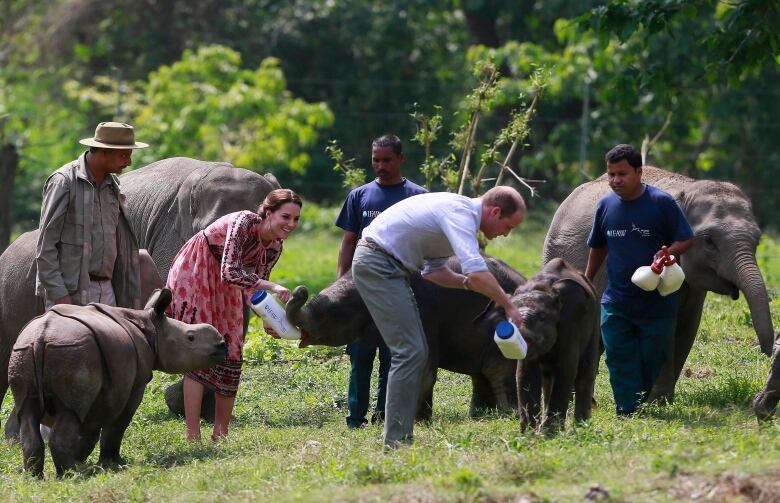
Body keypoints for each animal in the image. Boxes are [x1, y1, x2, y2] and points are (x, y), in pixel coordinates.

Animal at [7, 290, 225, 478]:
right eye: (190, 338)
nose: (222, 345)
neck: (153, 329)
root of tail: (41, 336)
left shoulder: (104, 390)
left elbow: (92, 428)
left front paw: (83, 460)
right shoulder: (134, 384)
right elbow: (117, 425)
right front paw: (114, 464)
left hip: (24, 351)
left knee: (27, 411)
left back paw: (36, 477)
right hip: (72, 351)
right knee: (70, 413)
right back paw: (71, 476)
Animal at [482, 260, 596, 434]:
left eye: (543, 317)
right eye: (509, 318)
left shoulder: (570, 323)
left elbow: (566, 369)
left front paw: (549, 433)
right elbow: (525, 373)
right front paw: (529, 433)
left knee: (586, 369)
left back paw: (582, 425)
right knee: (548, 378)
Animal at [544, 167, 772, 404]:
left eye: (757, 240)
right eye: (709, 241)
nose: (767, 352)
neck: (689, 187)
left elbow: (688, 325)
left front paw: (660, 400)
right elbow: (666, 326)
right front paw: (657, 401)